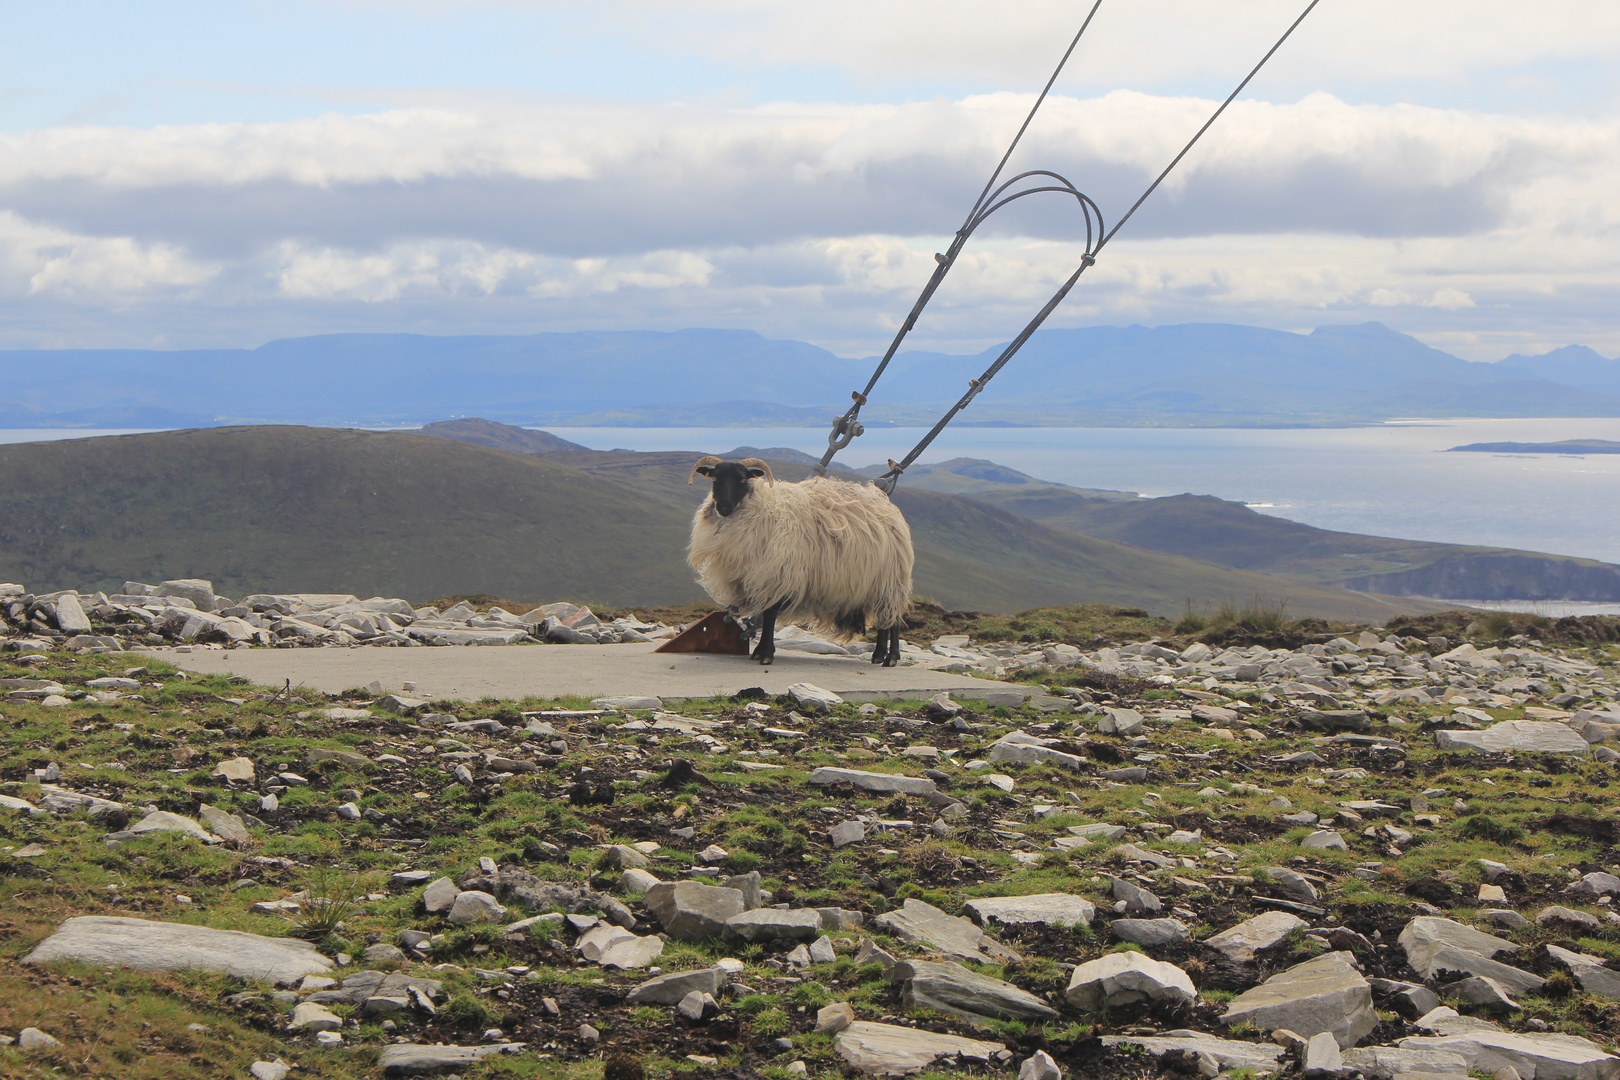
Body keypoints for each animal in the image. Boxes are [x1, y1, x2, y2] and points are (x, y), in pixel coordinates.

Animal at [683, 453, 913, 663]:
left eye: (742, 479)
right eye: (715, 478)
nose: (723, 506)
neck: (762, 506)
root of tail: (889, 508)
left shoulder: (778, 575)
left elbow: (770, 616)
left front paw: (765, 654)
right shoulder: (753, 577)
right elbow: (765, 615)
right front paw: (762, 651)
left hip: (891, 581)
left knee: (892, 622)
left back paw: (890, 657)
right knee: (885, 621)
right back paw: (879, 655)